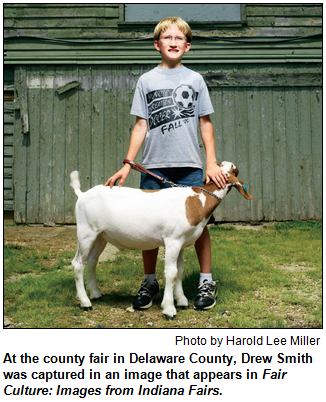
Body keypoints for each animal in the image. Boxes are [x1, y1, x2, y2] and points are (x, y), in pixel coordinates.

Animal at [69, 160, 252, 320]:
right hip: (86, 232)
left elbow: (180, 270)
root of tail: (82, 194)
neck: (197, 200)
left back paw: (95, 294)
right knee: (78, 263)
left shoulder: (182, 243)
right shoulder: (173, 240)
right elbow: (171, 273)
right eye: (234, 169)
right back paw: (85, 302)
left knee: (92, 260)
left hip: (101, 235)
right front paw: (169, 309)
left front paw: (181, 301)